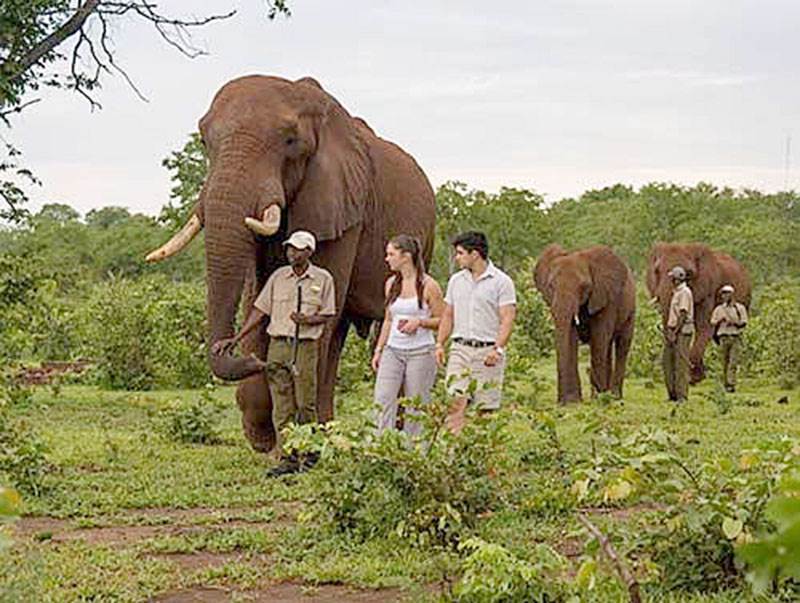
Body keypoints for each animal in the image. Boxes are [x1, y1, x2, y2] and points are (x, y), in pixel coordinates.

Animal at [148, 75, 438, 452]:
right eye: (203, 139)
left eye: (290, 141)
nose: (233, 351)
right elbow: (259, 297)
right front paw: (267, 439)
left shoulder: (344, 206)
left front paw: (291, 438)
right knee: (337, 335)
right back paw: (326, 431)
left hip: (426, 240)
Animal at [536, 245, 636, 406]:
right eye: (550, 286)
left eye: (584, 287)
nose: (560, 402)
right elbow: (571, 339)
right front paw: (572, 401)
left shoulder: (606, 298)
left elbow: (599, 337)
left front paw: (599, 399)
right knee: (608, 348)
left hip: (631, 310)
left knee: (622, 345)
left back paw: (613, 397)